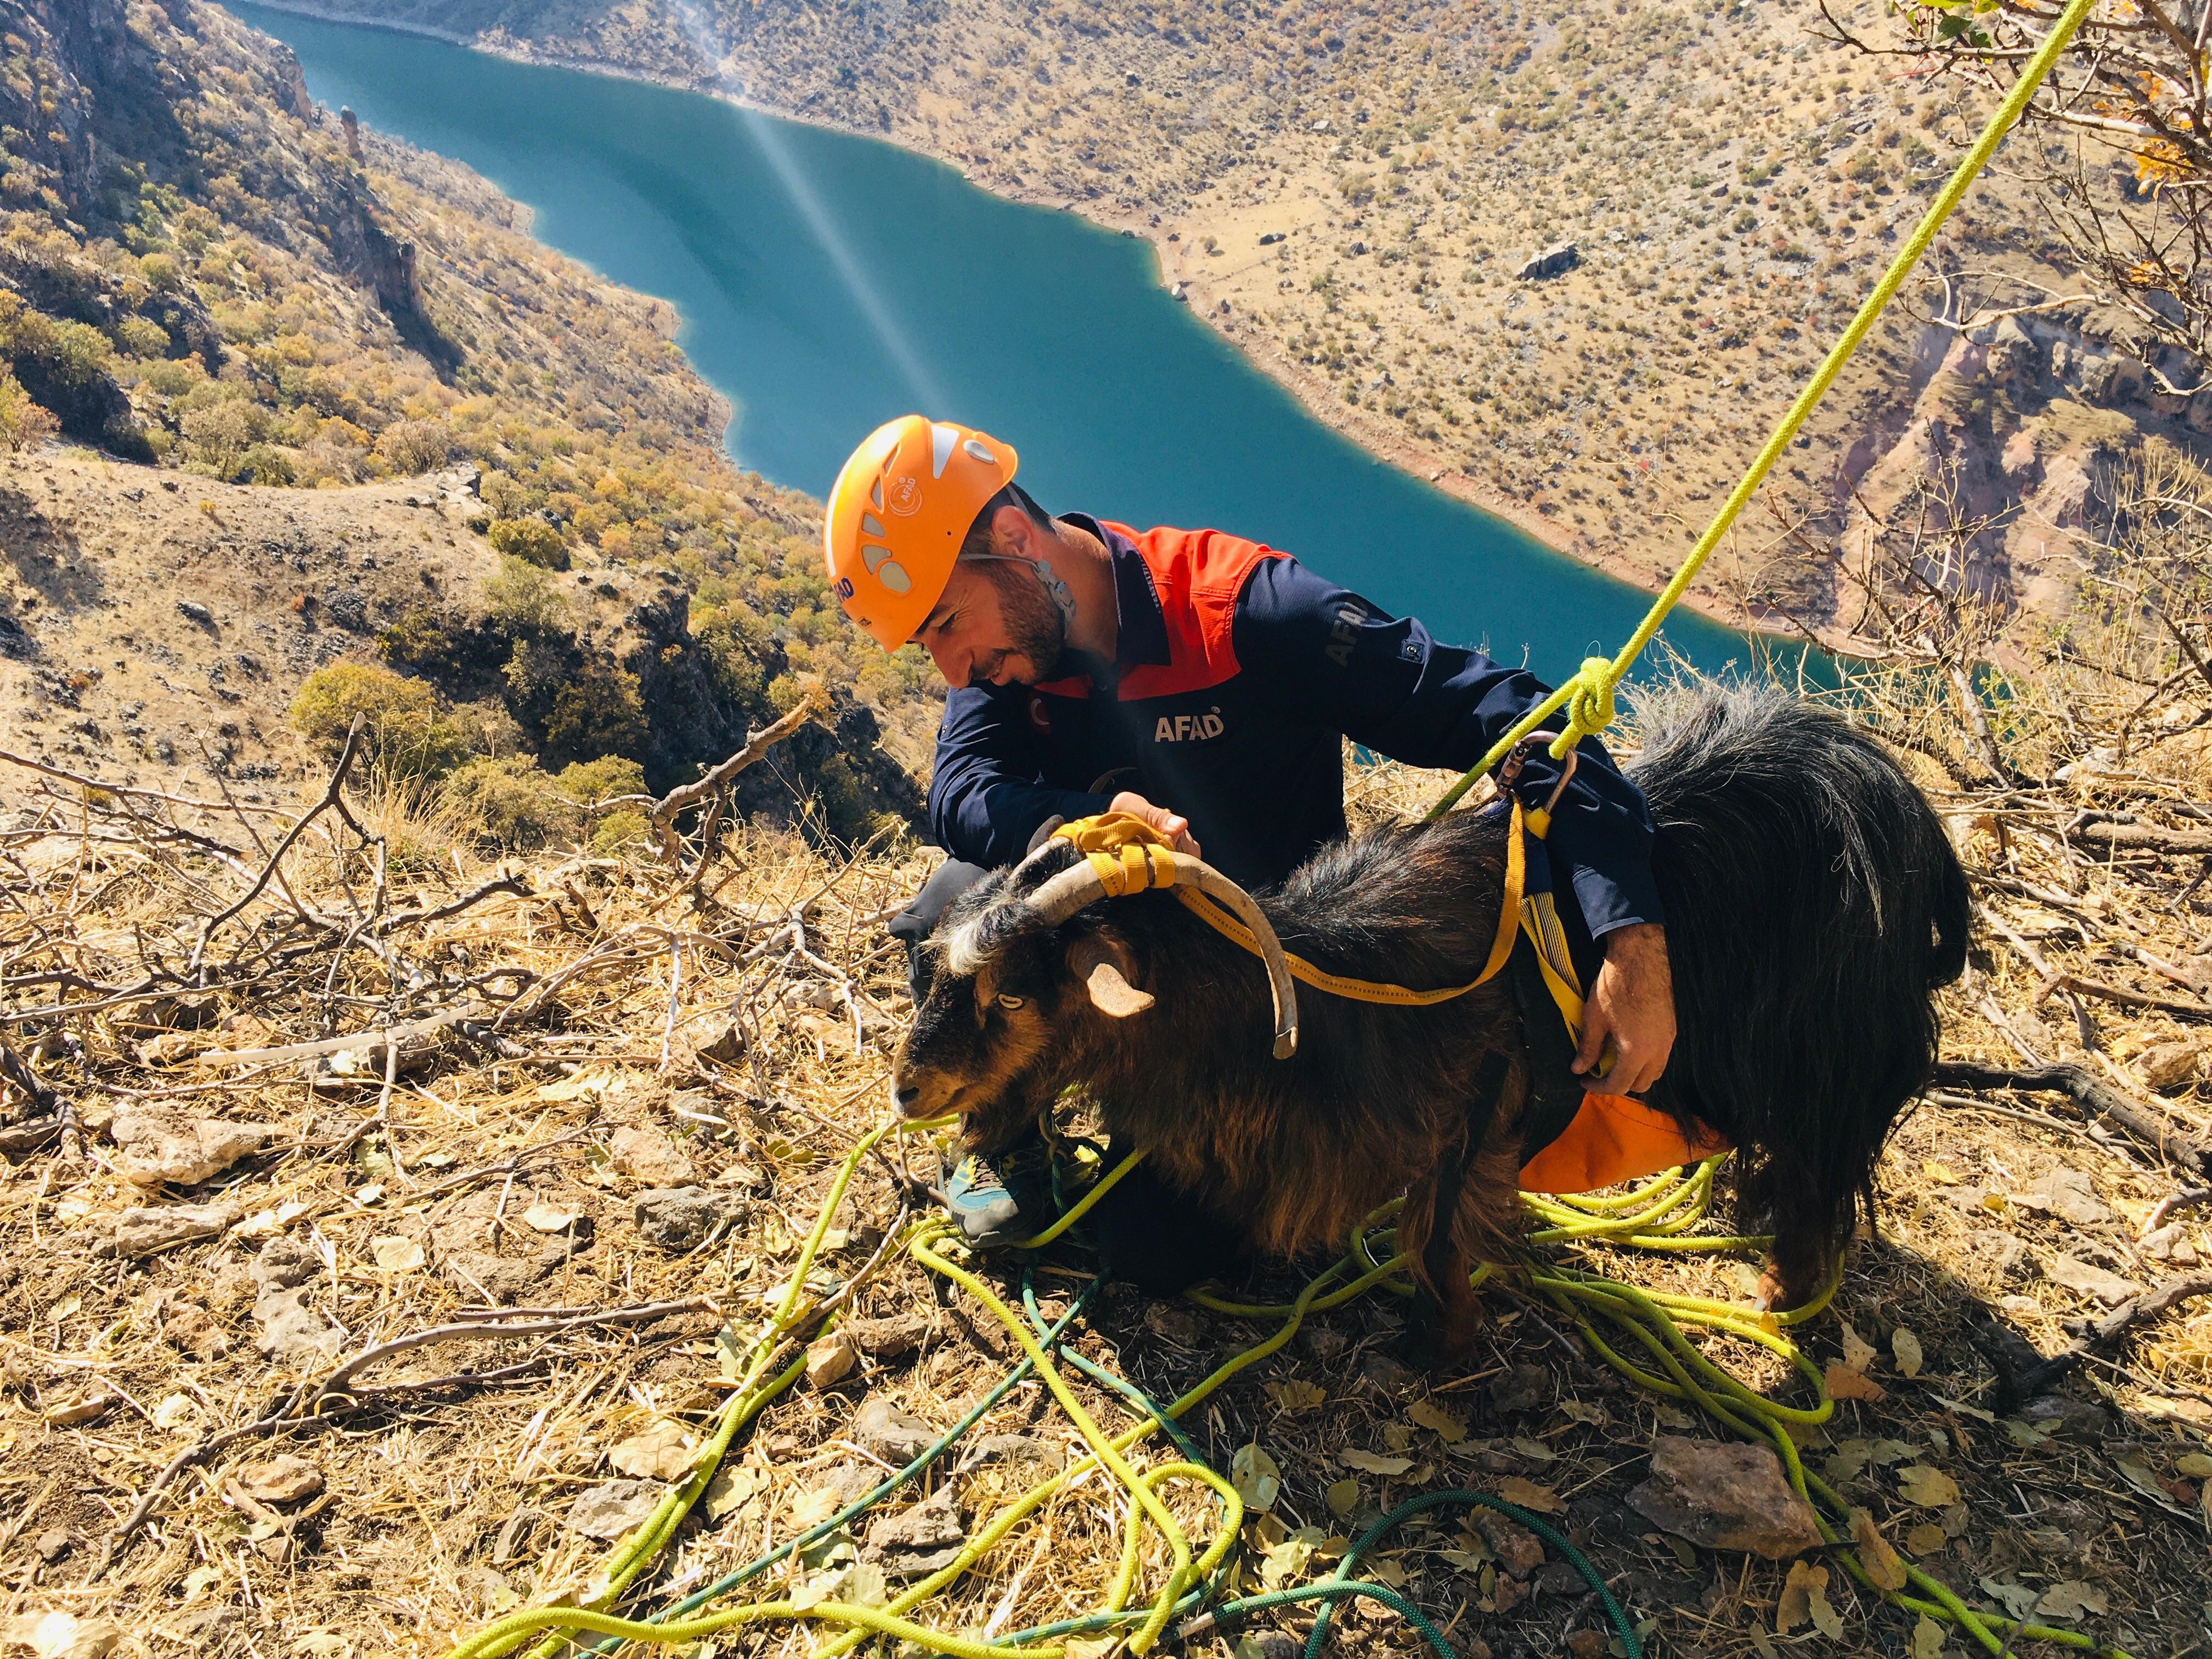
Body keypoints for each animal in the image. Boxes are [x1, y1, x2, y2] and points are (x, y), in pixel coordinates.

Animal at [898, 695, 1973, 1353]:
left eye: (1013, 992)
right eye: (944, 967)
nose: (909, 1090)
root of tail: (1897, 801)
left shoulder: (1476, 1112)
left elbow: (1439, 1235)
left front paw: (1442, 1347)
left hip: (1830, 1067)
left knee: (1814, 1179)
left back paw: (1784, 1289)